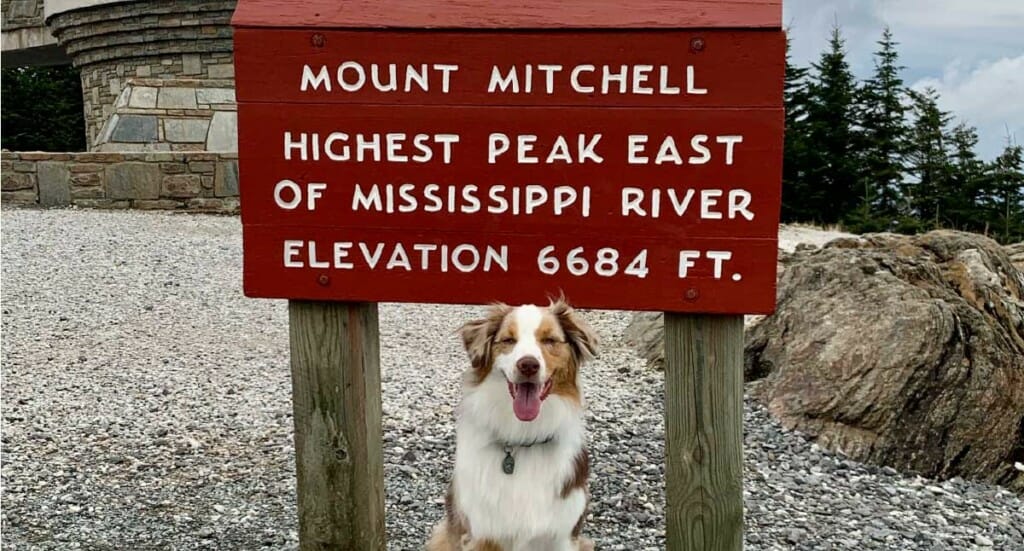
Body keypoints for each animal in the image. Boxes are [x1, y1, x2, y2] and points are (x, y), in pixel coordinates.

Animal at [425, 299, 598, 548]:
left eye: (549, 340)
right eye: (508, 340)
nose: (528, 365)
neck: (522, 438)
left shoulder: (563, 536)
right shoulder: (483, 534)